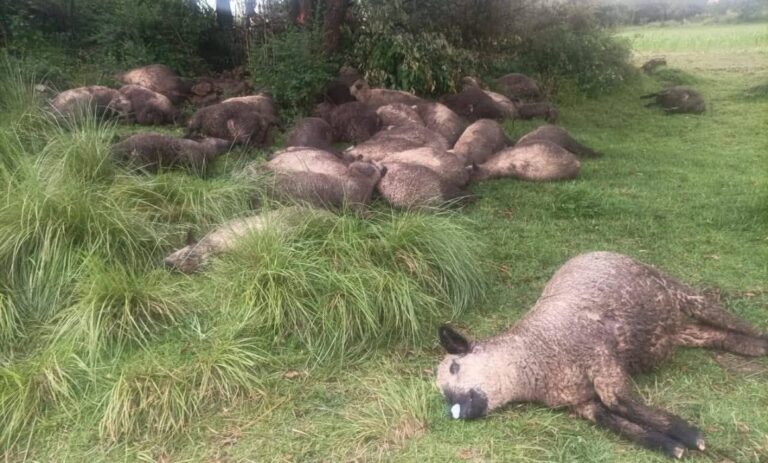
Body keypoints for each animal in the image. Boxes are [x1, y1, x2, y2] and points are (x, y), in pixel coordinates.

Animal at [436, 251, 768, 458]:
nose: (454, 412)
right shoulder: (581, 405)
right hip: (669, 330)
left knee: (724, 317)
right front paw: (667, 444)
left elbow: (620, 402)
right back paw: (752, 347)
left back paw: (761, 340)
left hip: (678, 291)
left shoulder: (601, 359)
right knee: (709, 334)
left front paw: (687, 434)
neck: (533, 355)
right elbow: (617, 422)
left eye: (454, 367)